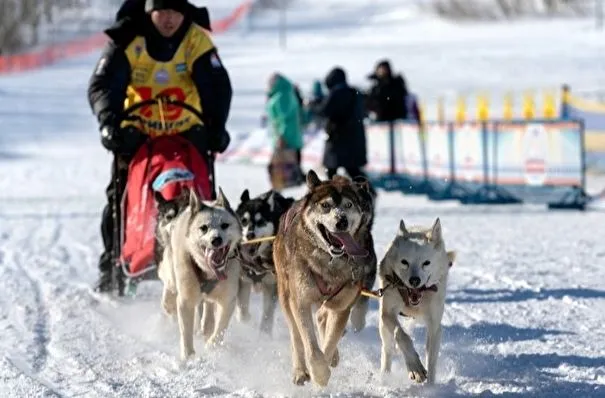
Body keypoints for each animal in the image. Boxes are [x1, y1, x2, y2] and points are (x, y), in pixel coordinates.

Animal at [158, 187, 243, 360]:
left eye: (225, 225)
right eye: (204, 227)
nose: (216, 240)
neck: (209, 272)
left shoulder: (227, 300)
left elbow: (221, 327)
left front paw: (212, 344)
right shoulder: (186, 300)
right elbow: (186, 332)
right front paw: (189, 356)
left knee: (208, 308)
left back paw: (207, 325)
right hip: (173, 274)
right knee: (169, 288)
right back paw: (168, 302)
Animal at [234, 188, 294, 334]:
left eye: (260, 221)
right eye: (244, 220)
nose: (250, 234)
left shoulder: (272, 285)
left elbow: (267, 315)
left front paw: (264, 334)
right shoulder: (243, 279)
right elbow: (242, 311)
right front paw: (245, 320)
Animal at [272, 169, 376, 388]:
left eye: (348, 205)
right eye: (326, 205)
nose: (341, 221)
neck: (330, 261)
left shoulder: (342, 306)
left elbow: (329, 341)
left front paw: (325, 365)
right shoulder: (301, 301)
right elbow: (310, 345)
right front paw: (318, 372)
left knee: (322, 317)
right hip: (286, 296)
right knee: (296, 336)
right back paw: (300, 371)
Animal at [378, 218, 452, 386]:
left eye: (426, 263)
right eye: (404, 262)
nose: (414, 280)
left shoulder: (434, 326)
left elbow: (431, 360)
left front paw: (430, 387)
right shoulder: (387, 313)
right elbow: (401, 335)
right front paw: (415, 368)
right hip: (383, 326)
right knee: (387, 349)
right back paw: (385, 376)